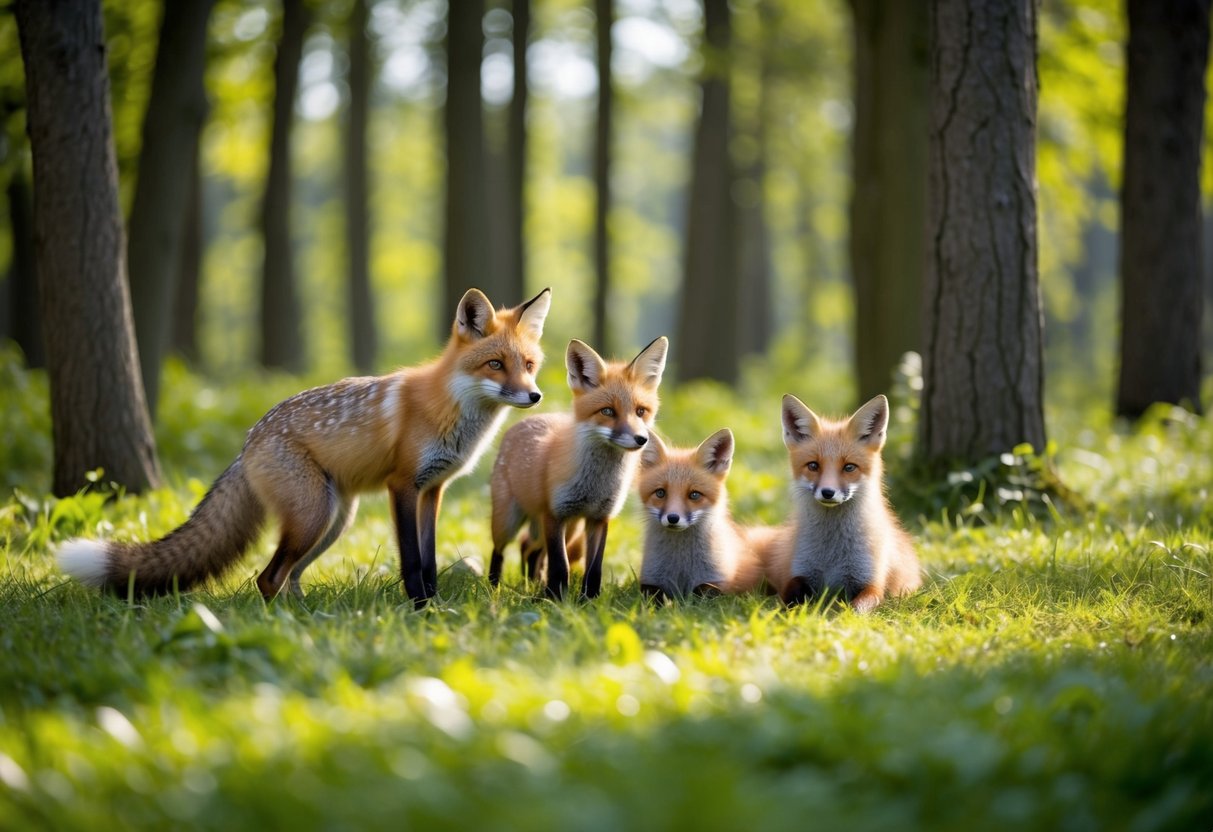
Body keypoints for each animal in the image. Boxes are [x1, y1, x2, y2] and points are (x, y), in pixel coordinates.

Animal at [57, 288, 552, 607]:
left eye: (529, 365)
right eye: (495, 364)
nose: (534, 396)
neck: (450, 407)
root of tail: (248, 442)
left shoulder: (433, 490)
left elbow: (429, 560)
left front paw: (432, 605)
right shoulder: (402, 486)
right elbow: (412, 561)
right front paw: (420, 609)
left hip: (332, 520)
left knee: (288, 576)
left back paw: (308, 618)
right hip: (313, 516)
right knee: (267, 577)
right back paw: (284, 625)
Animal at [487, 336, 668, 600]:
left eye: (641, 411)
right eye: (608, 411)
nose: (640, 439)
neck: (596, 485)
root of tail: (526, 421)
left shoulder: (600, 518)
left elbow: (594, 568)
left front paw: (588, 600)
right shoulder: (554, 515)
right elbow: (560, 565)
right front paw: (556, 600)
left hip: (568, 529)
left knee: (530, 549)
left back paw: (533, 583)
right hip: (508, 521)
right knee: (500, 550)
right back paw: (494, 587)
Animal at [637, 428, 779, 601]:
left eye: (694, 495)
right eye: (660, 493)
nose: (673, 518)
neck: (682, 569)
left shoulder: (716, 584)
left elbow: (700, 595)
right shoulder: (650, 582)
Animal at [766, 393, 922, 613]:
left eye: (849, 467)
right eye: (813, 465)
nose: (828, 492)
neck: (832, 555)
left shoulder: (871, 583)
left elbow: (858, 608)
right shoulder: (800, 573)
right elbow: (785, 598)